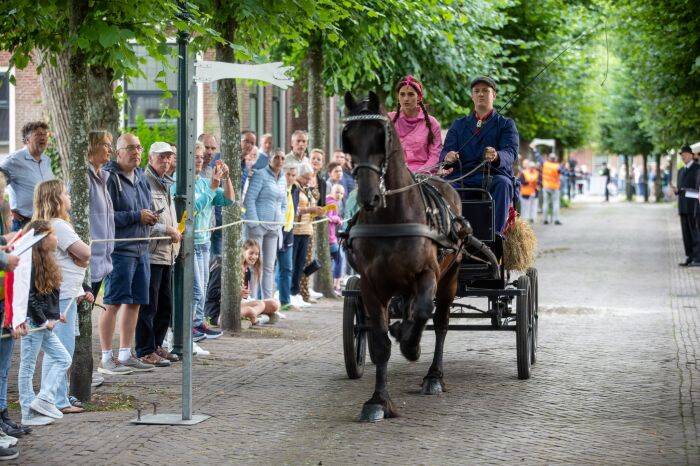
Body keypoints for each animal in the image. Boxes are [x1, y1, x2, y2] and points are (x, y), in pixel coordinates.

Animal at [342, 92, 468, 422]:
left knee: (441, 322)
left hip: (450, 278)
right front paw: (378, 401)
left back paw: (433, 375)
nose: (368, 197)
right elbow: (380, 343)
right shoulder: (370, 286)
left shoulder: (428, 274)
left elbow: (423, 312)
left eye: (381, 137)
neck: (391, 217)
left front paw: (411, 345)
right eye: (347, 139)